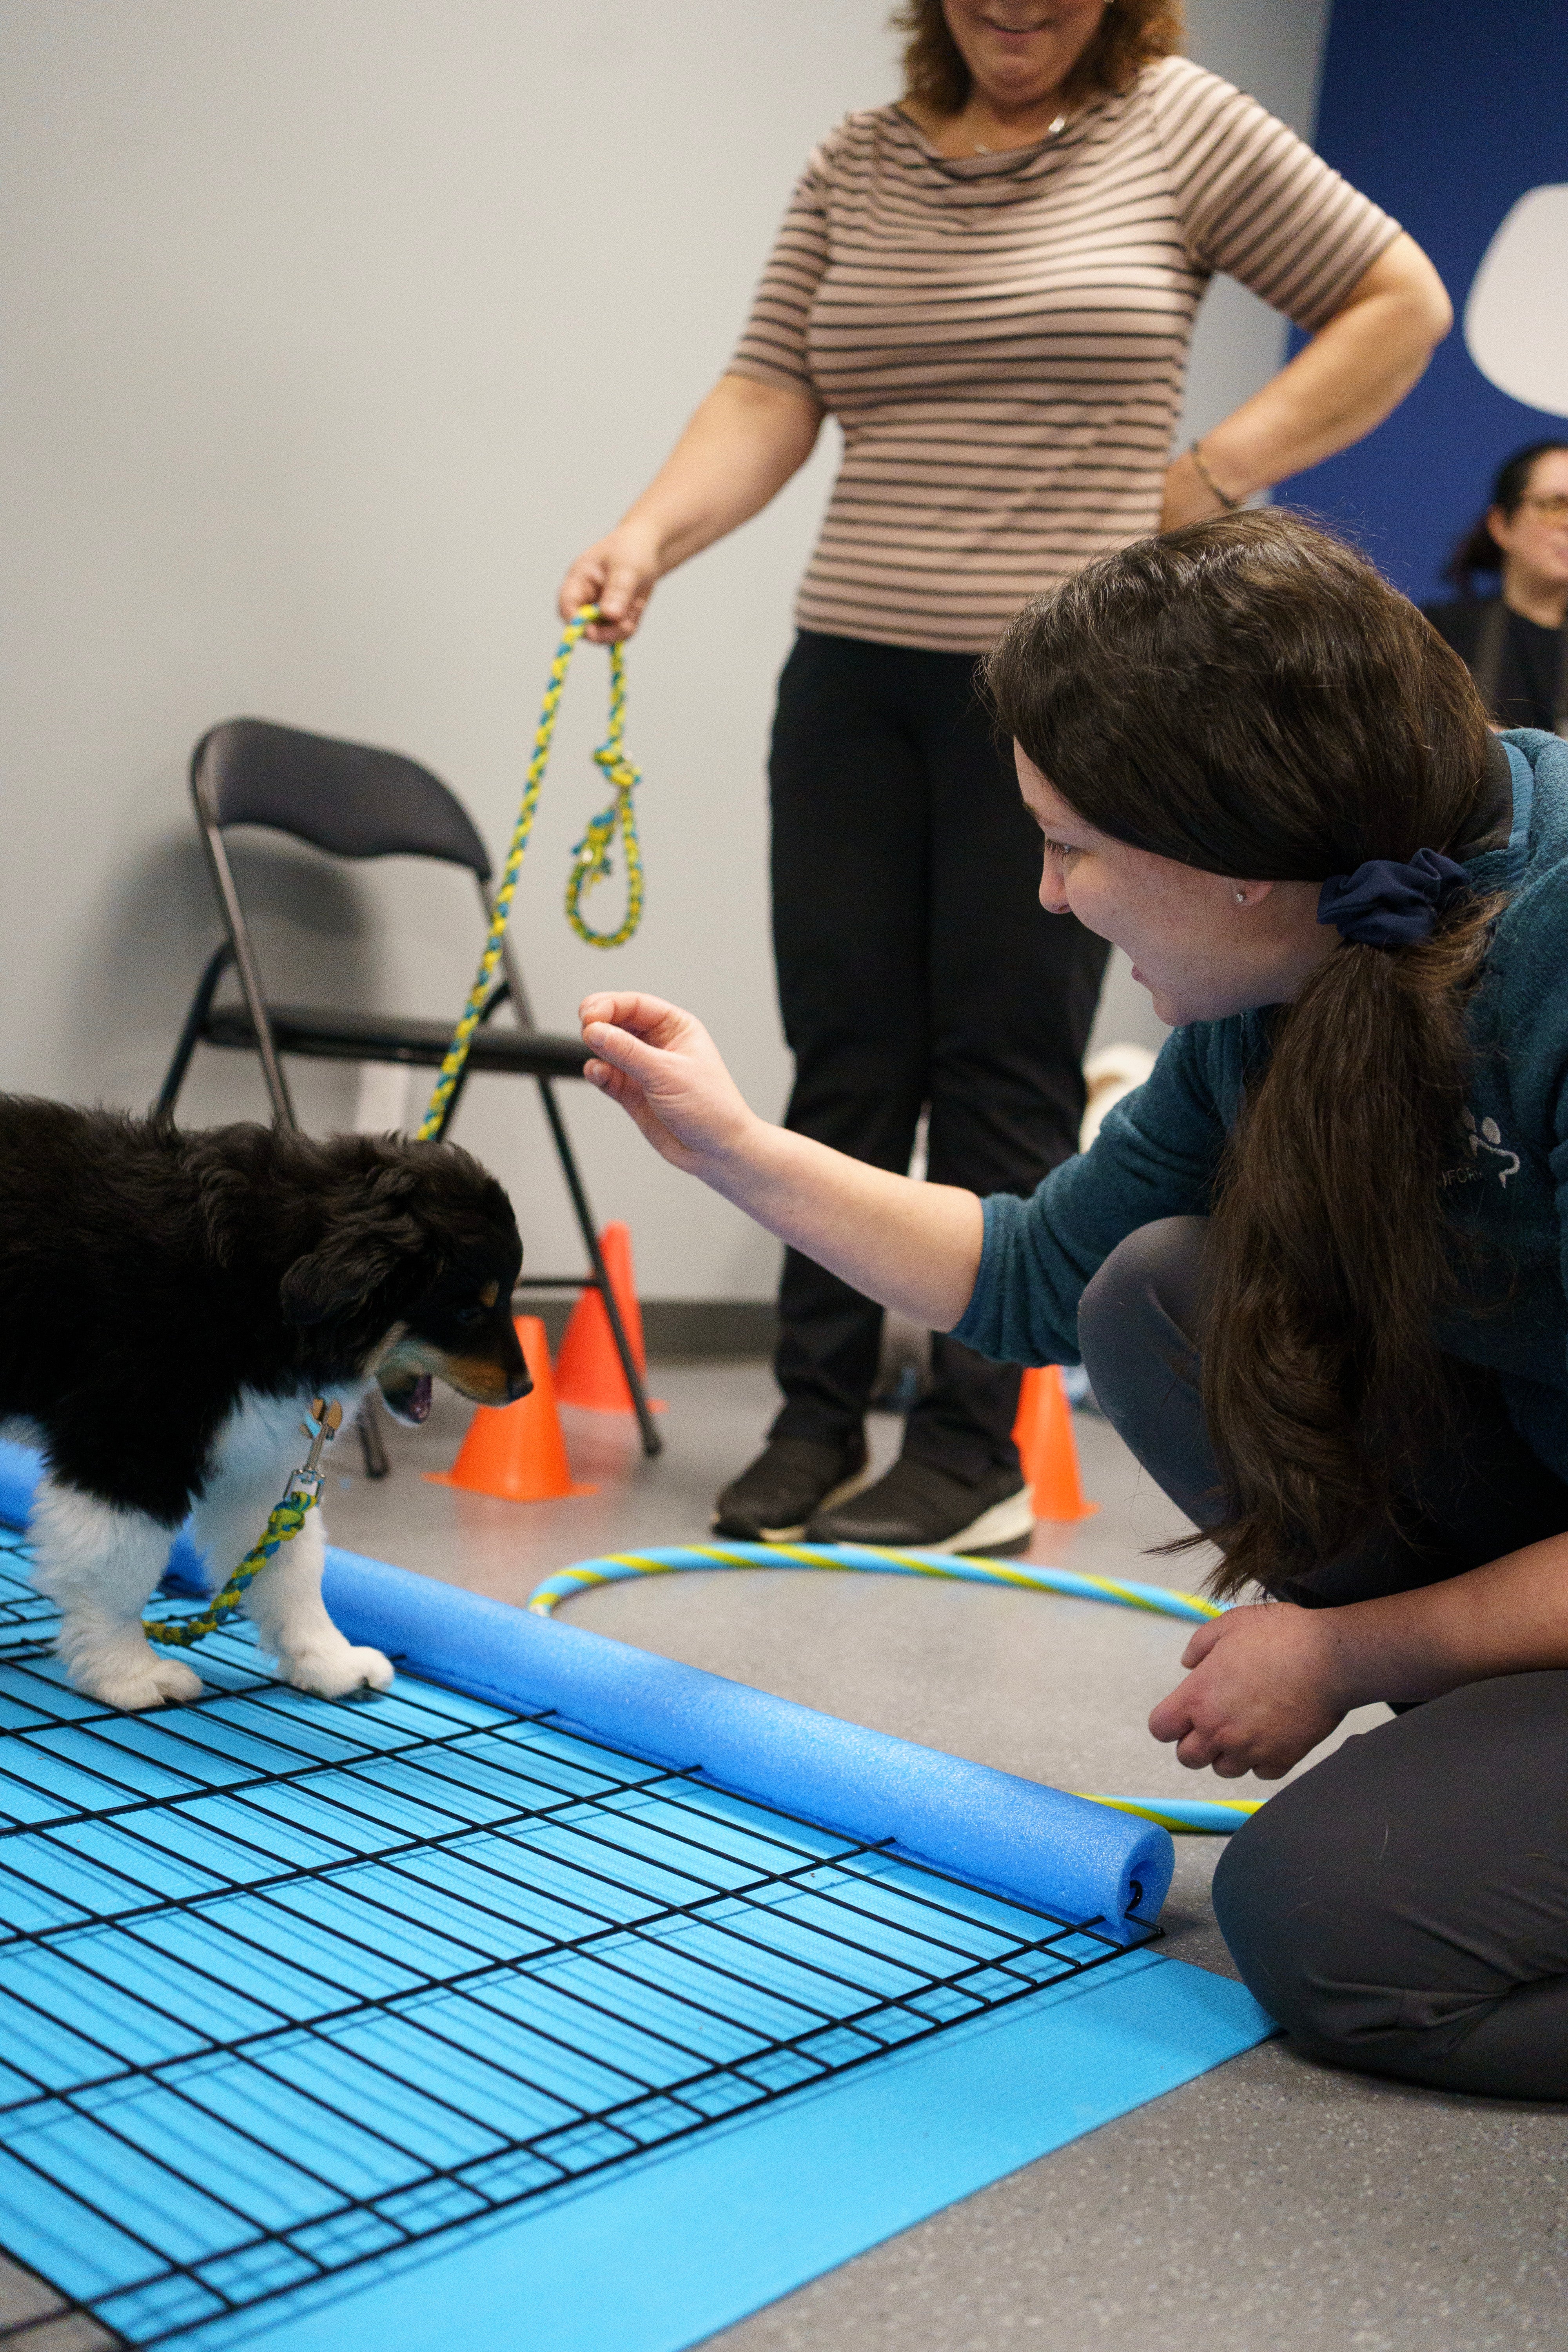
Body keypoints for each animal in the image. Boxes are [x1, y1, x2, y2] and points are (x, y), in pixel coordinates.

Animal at [0, 1101, 526, 1712]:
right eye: (468, 1312)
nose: (525, 1388)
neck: (259, 1279)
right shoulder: (132, 1443)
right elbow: (119, 1569)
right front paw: (128, 1674)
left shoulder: (256, 1460)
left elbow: (289, 1566)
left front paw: (329, 1662)